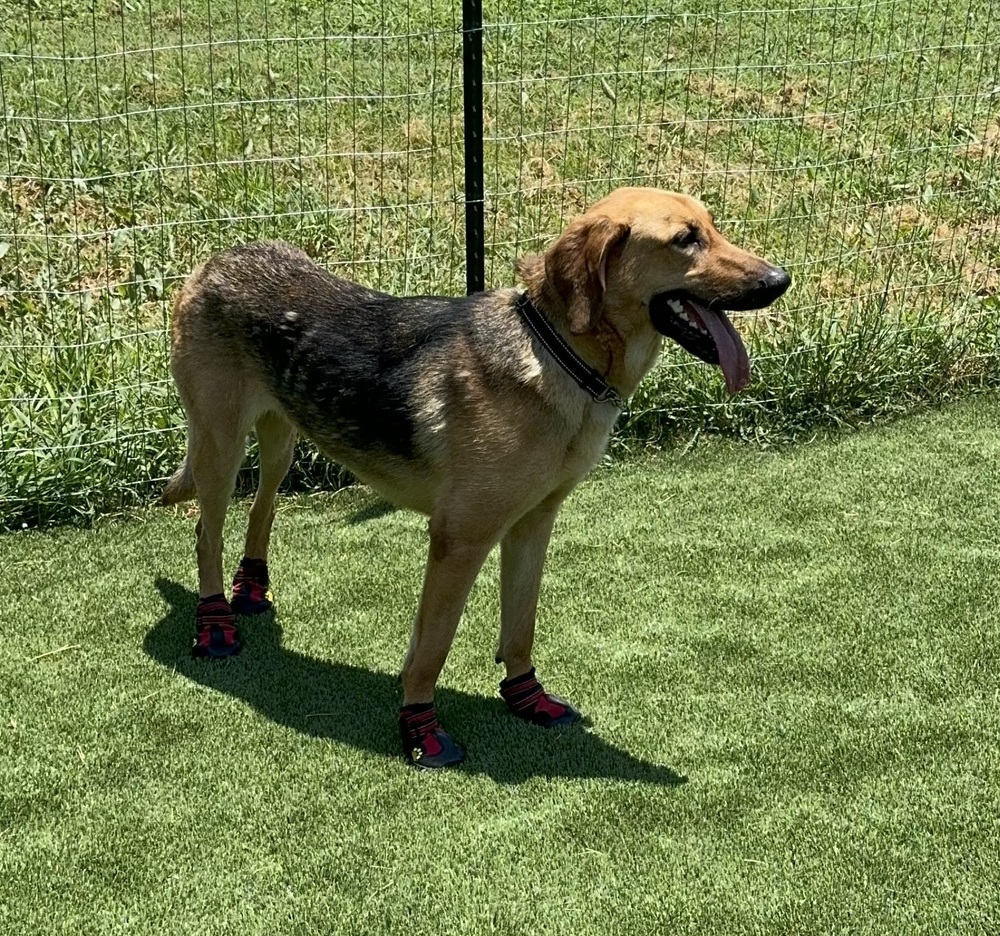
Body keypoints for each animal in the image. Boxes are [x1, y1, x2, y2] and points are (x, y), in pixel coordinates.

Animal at [162, 188, 788, 768]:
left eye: (713, 227)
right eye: (685, 240)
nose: (780, 280)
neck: (557, 353)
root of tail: (216, 259)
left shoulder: (532, 526)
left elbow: (520, 627)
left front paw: (526, 699)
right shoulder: (459, 541)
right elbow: (432, 650)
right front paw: (421, 732)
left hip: (282, 439)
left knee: (260, 508)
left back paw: (250, 589)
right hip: (221, 445)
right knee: (205, 532)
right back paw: (214, 624)